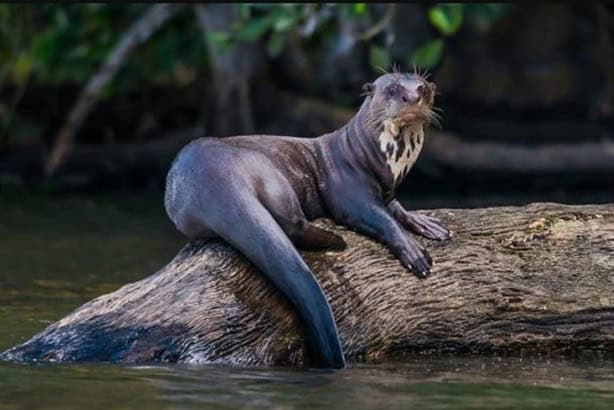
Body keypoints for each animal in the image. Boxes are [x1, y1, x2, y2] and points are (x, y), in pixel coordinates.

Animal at [165, 69, 452, 368]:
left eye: (422, 87)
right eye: (393, 88)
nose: (413, 97)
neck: (373, 158)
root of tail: (213, 177)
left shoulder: (387, 190)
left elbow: (395, 207)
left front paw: (426, 224)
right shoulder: (348, 192)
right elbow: (380, 218)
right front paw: (413, 252)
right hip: (270, 173)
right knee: (291, 223)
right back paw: (336, 240)